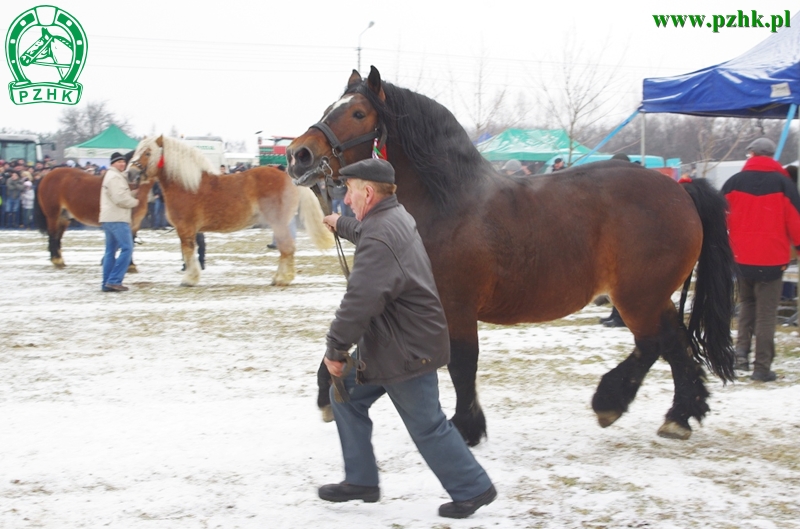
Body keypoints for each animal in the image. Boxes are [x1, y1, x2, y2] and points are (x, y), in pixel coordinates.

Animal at [126, 135, 332, 284]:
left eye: (147, 153)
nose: (130, 173)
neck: (186, 186)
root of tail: (286, 175)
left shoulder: (185, 229)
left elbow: (188, 252)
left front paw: (189, 279)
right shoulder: (193, 230)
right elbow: (193, 251)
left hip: (278, 222)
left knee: (287, 248)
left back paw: (281, 278)